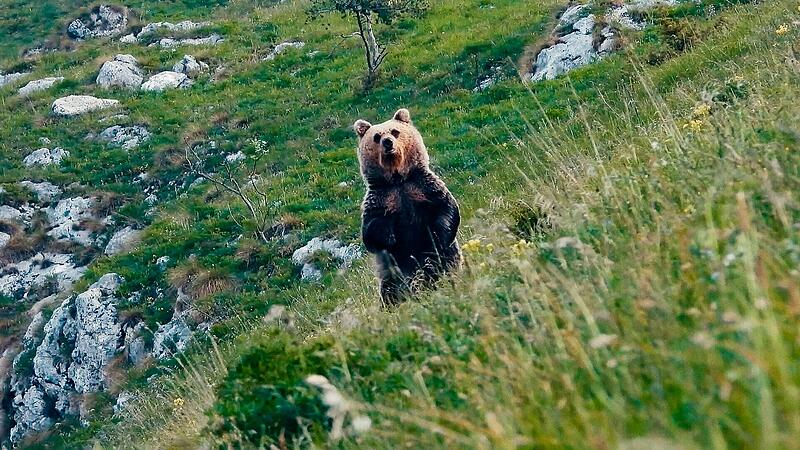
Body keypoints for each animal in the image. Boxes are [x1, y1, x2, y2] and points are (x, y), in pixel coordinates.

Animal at [352, 109, 460, 306]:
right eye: (377, 136)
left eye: (395, 131)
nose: (388, 142)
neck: (398, 180)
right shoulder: (381, 199)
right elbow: (370, 234)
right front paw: (388, 236)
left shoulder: (423, 188)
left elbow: (447, 210)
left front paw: (438, 236)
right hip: (392, 275)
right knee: (391, 292)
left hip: (449, 261)